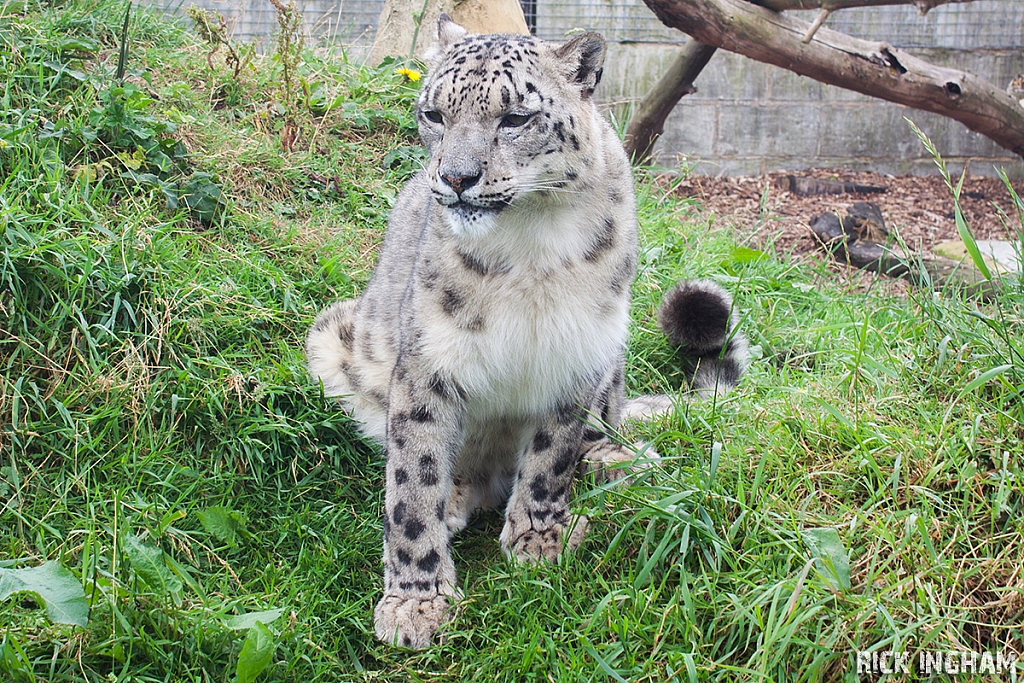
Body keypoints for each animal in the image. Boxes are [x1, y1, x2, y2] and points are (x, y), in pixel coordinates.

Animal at [299, 13, 749, 651]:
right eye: (434, 114)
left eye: (514, 118)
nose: (456, 177)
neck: (530, 245)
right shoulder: (427, 363)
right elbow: (413, 481)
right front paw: (415, 602)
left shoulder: (578, 353)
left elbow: (551, 456)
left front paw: (538, 538)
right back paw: (457, 497)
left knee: (604, 426)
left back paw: (615, 461)